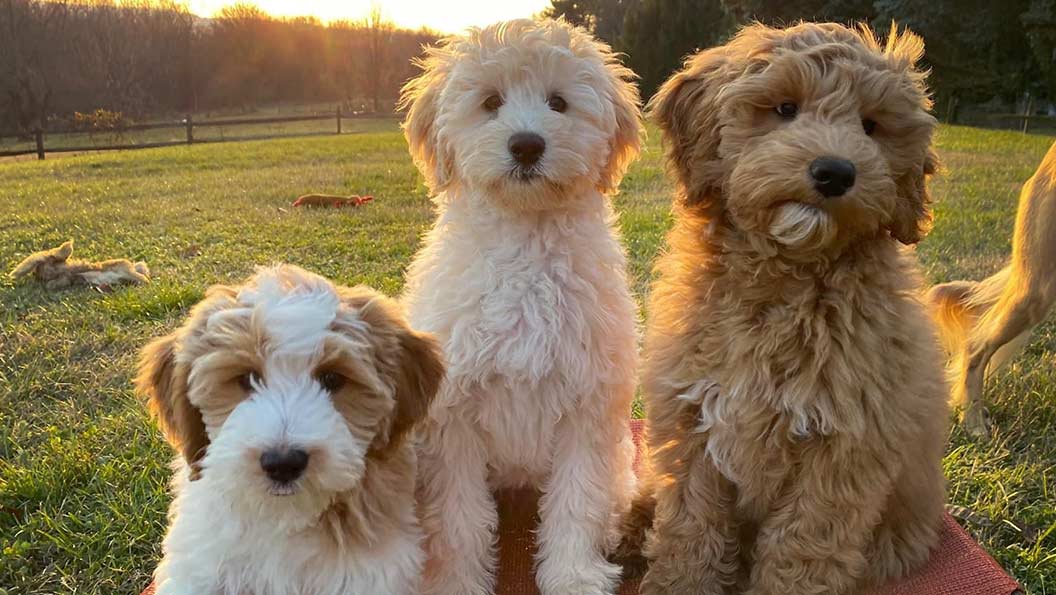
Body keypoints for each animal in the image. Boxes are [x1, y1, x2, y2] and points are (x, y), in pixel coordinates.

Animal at [397, 18, 637, 595]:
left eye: (559, 102)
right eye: (490, 102)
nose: (527, 145)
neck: (526, 244)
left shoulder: (589, 403)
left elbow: (577, 500)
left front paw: (574, 576)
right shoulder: (452, 417)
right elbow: (458, 519)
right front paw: (454, 582)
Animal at [620, 21, 954, 591]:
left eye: (870, 125)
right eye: (784, 108)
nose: (835, 172)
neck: (781, 288)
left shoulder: (843, 448)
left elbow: (804, 546)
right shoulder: (690, 424)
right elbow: (690, 526)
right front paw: (681, 580)